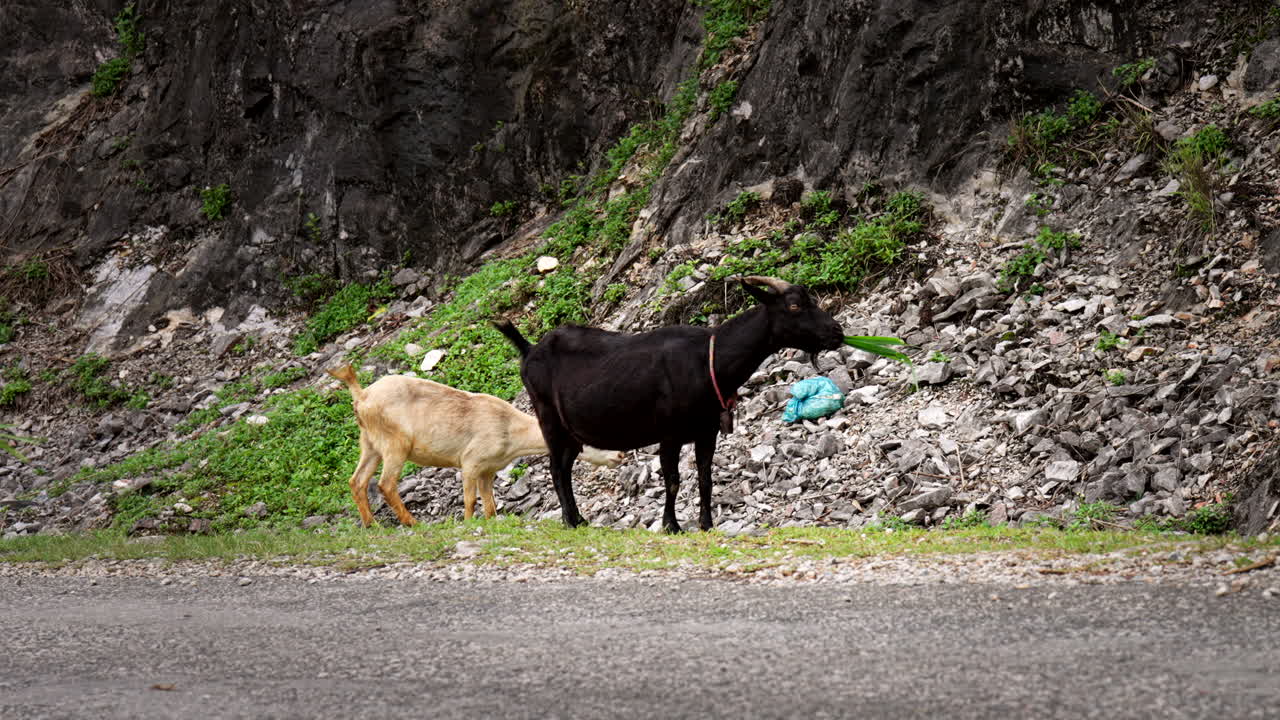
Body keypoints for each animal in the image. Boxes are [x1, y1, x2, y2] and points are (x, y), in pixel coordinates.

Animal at [326, 365, 625, 527]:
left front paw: (490, 522)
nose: (621, 455)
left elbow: (490, 503)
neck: (508, 427)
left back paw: (373, 524)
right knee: (385, 484)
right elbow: (470, 498)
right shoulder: (470, 461)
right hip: (394, 444)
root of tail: (362, 396)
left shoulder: (488, 470)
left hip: (370, 444)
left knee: (357, 481)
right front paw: (469, 523)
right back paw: (412, 522)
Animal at [495, 275, 844, 533]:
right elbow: (673, 481)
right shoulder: (669, 434)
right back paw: (570, 521)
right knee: (556, 468)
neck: (708, 361)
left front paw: (706, 524)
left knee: (565, 465)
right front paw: (671, 526)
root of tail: (529, 350)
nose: (837, 331)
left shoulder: (706, 432)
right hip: (548, 418)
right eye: (795, 306)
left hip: (571, 430)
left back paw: (579, 519)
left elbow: (705, 478)